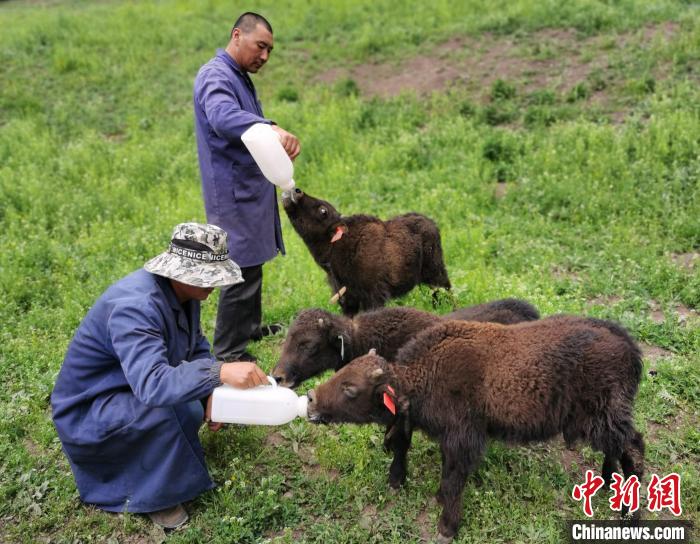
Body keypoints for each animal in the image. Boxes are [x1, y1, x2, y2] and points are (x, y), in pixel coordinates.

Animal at [282, 188, 452, 312]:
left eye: (323, 210)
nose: (297, 191)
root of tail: (433, 224)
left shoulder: (374, 295)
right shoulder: (348, 299)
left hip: (436, 273)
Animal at [308, 316, 648, 540]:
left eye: (351, 388)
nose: (311, 400)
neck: (424, 375)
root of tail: (628, 345)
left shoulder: (463, 441)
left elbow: (452, 481)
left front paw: (447, 527)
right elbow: (446, 477)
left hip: (607, 418)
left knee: (634, 450)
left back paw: (629, 516)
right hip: (602, 423)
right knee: (616, 450)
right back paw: (607, 483)